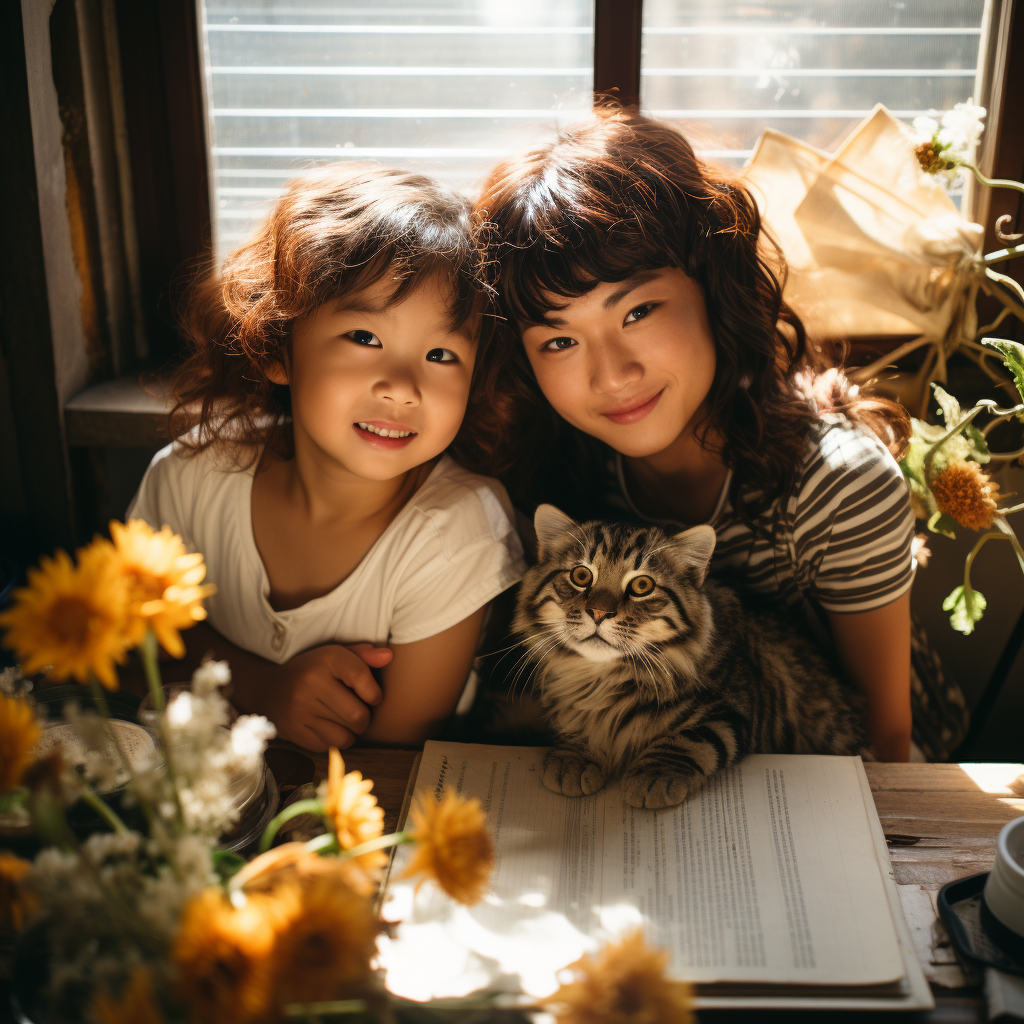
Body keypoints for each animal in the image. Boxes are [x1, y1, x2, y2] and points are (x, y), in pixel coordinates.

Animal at [516, 503, 868, 806]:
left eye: (642, 586)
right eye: (581, 576)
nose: (599, 612)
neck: (603, 677)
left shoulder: (732, 709)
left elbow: (687, 740)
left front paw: (653, 775)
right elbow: (576, 723)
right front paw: (573, 756)